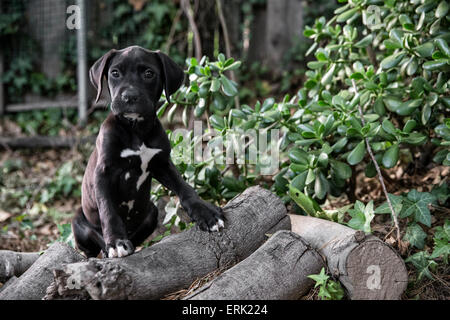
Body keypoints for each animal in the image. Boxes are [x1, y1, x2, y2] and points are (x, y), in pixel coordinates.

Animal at [73, 46, 225, 258]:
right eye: (115, 73)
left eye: (148, 73)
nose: (129, 97)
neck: (136, 130)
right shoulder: (103, 172)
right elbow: (107, 209)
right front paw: (116, 242)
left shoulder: (162, 164)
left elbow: (184, 187)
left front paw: (205, 212)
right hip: (79, 220)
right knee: (91, 244)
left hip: (151, 212)